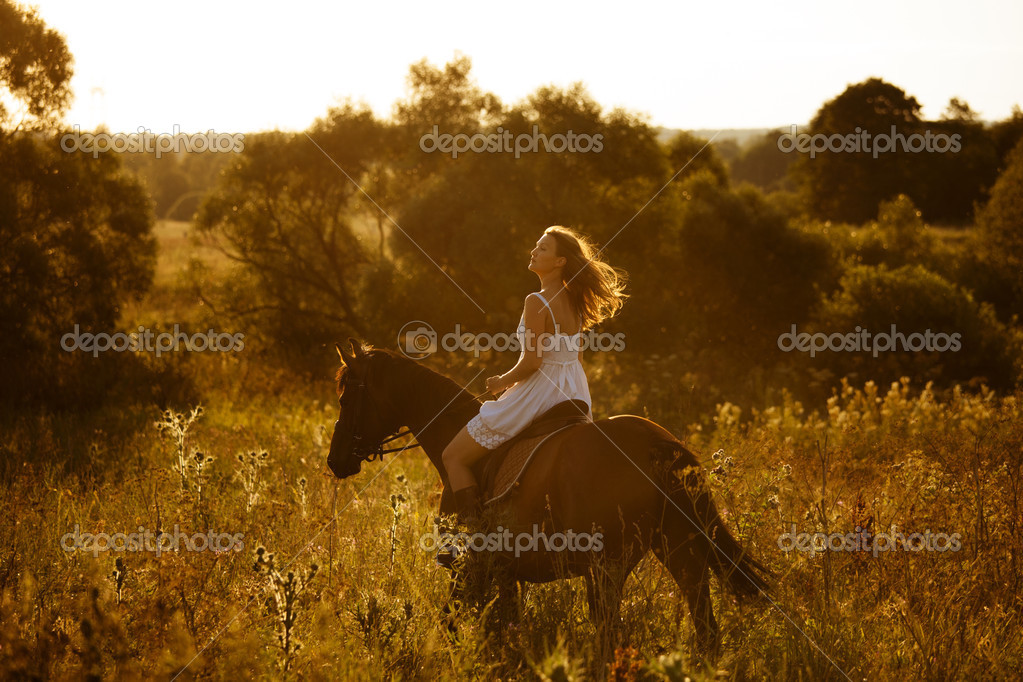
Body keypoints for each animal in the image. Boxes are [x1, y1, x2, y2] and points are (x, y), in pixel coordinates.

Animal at [327, 341, 769, 654]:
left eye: (346, 398)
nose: (335, 460)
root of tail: (654, 442)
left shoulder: (470, 572)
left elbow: (453, 624)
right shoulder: (505, 574)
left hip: (608, 567)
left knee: (611, 635)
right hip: (681, 551)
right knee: (705, 627)